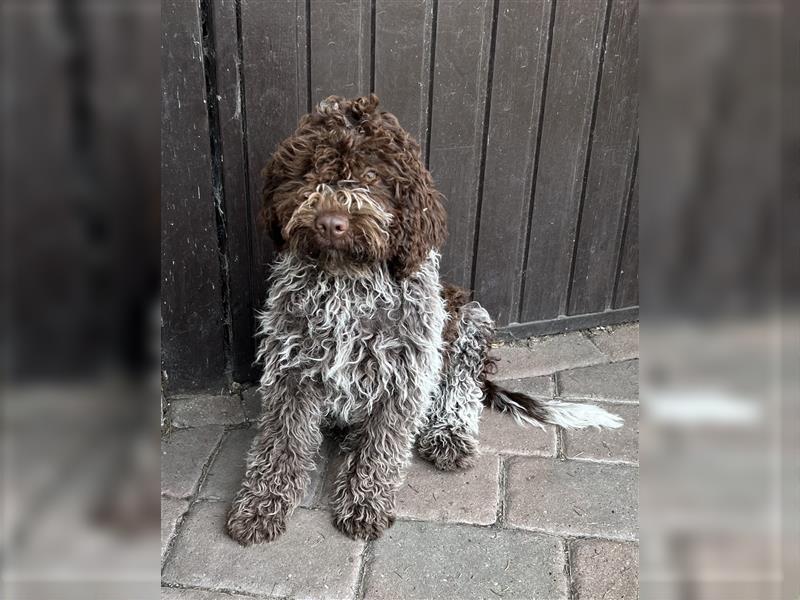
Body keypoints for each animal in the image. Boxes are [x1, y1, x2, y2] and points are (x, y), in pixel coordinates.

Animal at [222, 92, 620, 544]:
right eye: (309, 172)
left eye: (372, 175)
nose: (331, 223)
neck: (348, 284)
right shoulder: (292, 369)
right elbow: (281, 443)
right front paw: (261, 504)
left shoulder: (404, 375)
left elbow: (381, 447)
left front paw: (365, 502)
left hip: (467, 318)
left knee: (462, 389)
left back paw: (450, 434)